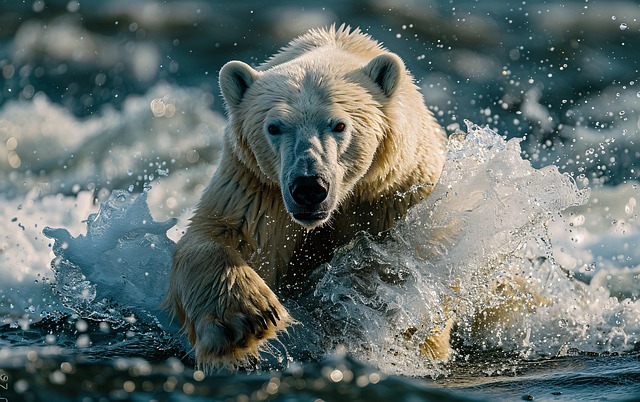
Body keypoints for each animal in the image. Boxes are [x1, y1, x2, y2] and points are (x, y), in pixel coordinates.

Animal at [162, 24, 448, 368]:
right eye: (274, 127)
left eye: (339, 124)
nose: (309, 187)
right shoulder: (257, 186)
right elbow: (223, 234)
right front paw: (246, 320)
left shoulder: (393, 192)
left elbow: (402, 259)